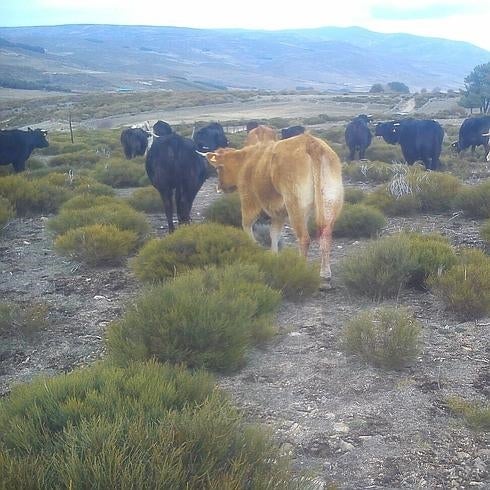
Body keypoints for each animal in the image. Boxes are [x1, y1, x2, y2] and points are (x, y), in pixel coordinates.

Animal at [201, 134, 342, 288]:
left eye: (218, 169)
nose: (219, 187)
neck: (246, 161)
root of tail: (311, 142)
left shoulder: (249, 201)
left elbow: (247, 226)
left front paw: (254, 247)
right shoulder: (278, 213)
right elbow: (274, 233)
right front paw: (274, 256)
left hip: (295, 206)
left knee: (304, 238)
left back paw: (301, 269)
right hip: (329, 202)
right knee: (325, 235)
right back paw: (325, 275)